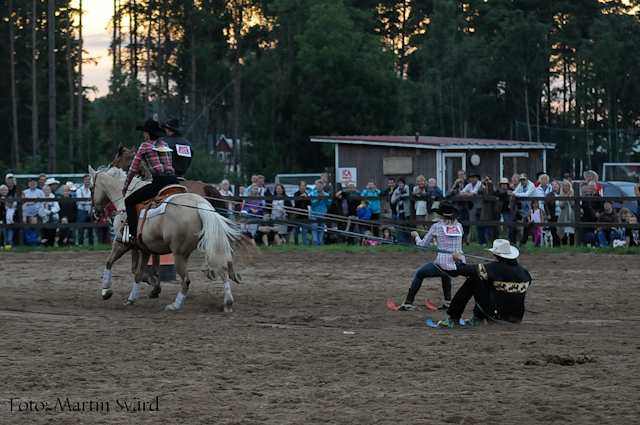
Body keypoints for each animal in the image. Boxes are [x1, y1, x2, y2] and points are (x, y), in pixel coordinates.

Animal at [89, 166, 254, 312]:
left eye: (91, 188)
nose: (95, 213)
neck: (124, 199)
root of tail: (201, 204)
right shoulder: (145, 250)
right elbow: (138, 274)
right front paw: (132, 298)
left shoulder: (121, 244)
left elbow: (109, 263)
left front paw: (106, 290)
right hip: (212, 240)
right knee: (222, 268)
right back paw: (228, 301)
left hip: (179, 254)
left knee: (186, 280)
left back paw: (175, 305)